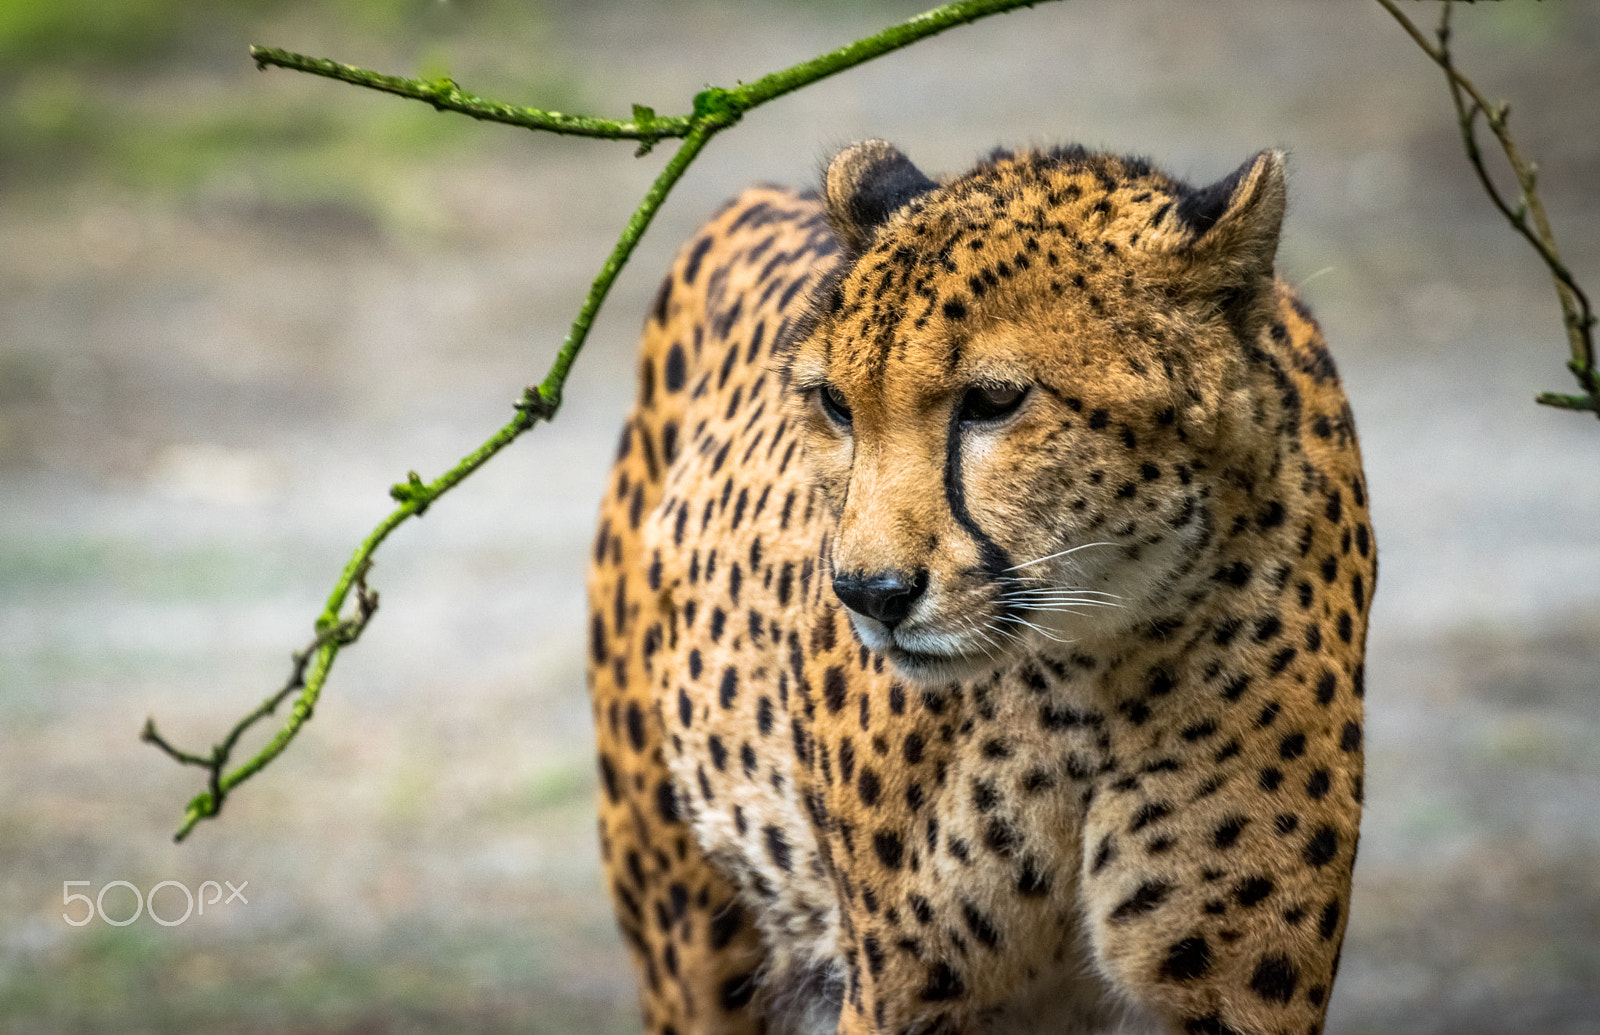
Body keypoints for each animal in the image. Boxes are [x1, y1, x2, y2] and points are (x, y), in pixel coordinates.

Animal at [586, 139, 1374, 1035]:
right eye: (836, 404)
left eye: (995, 400)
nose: (871, 593)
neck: (1088, 675)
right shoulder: (901, 990)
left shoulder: (1237, 998)